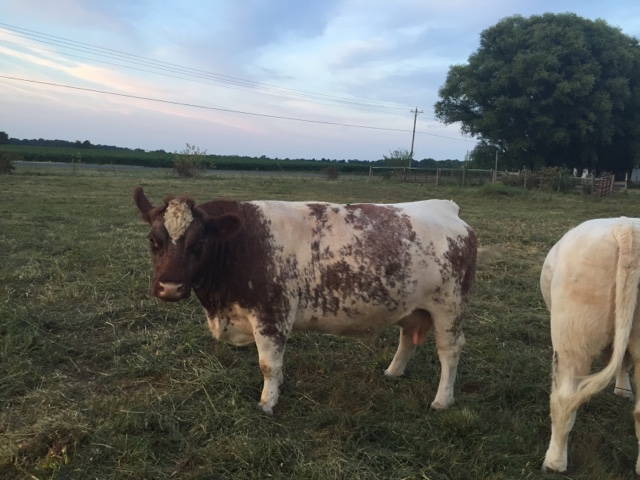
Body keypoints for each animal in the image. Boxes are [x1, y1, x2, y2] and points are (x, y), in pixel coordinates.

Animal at [133, 187, 477, 414]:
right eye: (152, 240)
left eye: (199, 242)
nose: (170, 287)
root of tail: (445, 208)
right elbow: (276, 364)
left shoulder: (271, 315)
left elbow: (268, 364)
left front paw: (267, 402)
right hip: (412, 305)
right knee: (407, 338)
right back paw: (393, 372)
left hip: (449, 308)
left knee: (449, 352)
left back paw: (442, 400)